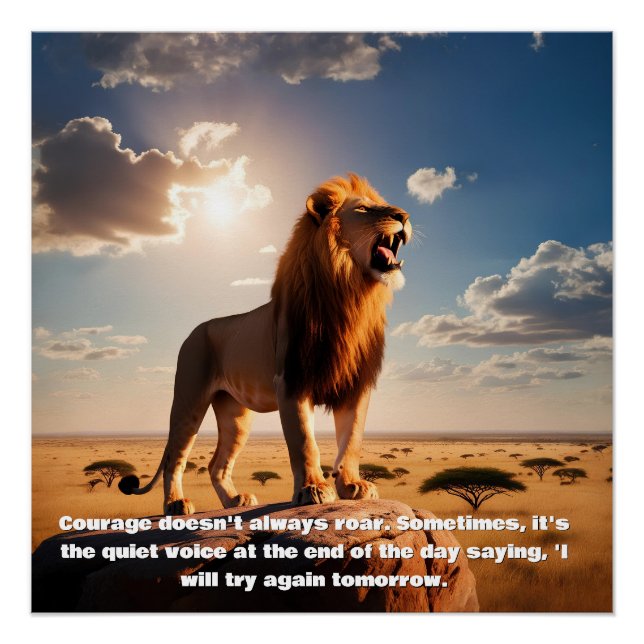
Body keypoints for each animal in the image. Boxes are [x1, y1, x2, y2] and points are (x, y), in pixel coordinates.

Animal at [119, 173, 412, 514]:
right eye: (364, 208)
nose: (405, 216)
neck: (350, 293)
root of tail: (195, 331)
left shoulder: (354, 383)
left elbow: (351, 440)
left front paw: (353, 486)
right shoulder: (292, 379)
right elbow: (304, 442)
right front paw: (313, 490)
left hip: (235, 416)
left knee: (217, 465)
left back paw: (235, 500)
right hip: (188, 400)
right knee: (175, 459)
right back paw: (176, 504)